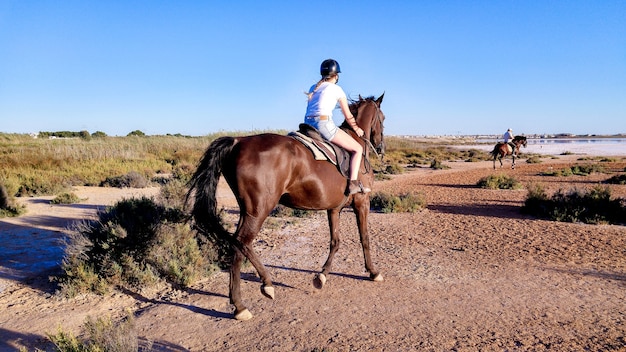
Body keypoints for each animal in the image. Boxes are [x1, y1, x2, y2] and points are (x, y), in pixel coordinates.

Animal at [185, 93, 382, 320]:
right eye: (382, 117)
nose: (380, 146)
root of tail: (237, 141)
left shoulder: (333, 208)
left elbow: (335, 242)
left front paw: (321, 276)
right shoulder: (362, 202)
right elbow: (364, 238)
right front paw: (373, 272)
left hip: (248, 210)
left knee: (239, 244)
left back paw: (246, 298)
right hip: (260, 209)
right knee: (241, 242)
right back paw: (253, 295)